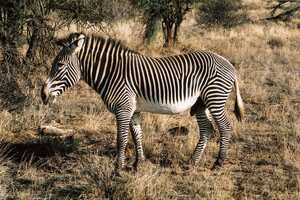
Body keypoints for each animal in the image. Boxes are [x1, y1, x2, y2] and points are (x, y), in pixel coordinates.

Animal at [41, 32, 244, 170]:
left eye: (59, 65)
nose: (43, 95)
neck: (111, 73)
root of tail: (229, 64)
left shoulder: (123, 108)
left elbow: (121, 139)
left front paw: (118, 168)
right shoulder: (133, 109)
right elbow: (136, 134)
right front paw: (139, 163)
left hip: (214, 97)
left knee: (225, 127)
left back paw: (218, 163)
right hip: (201, 103)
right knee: (207, 129)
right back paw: (192, 162)